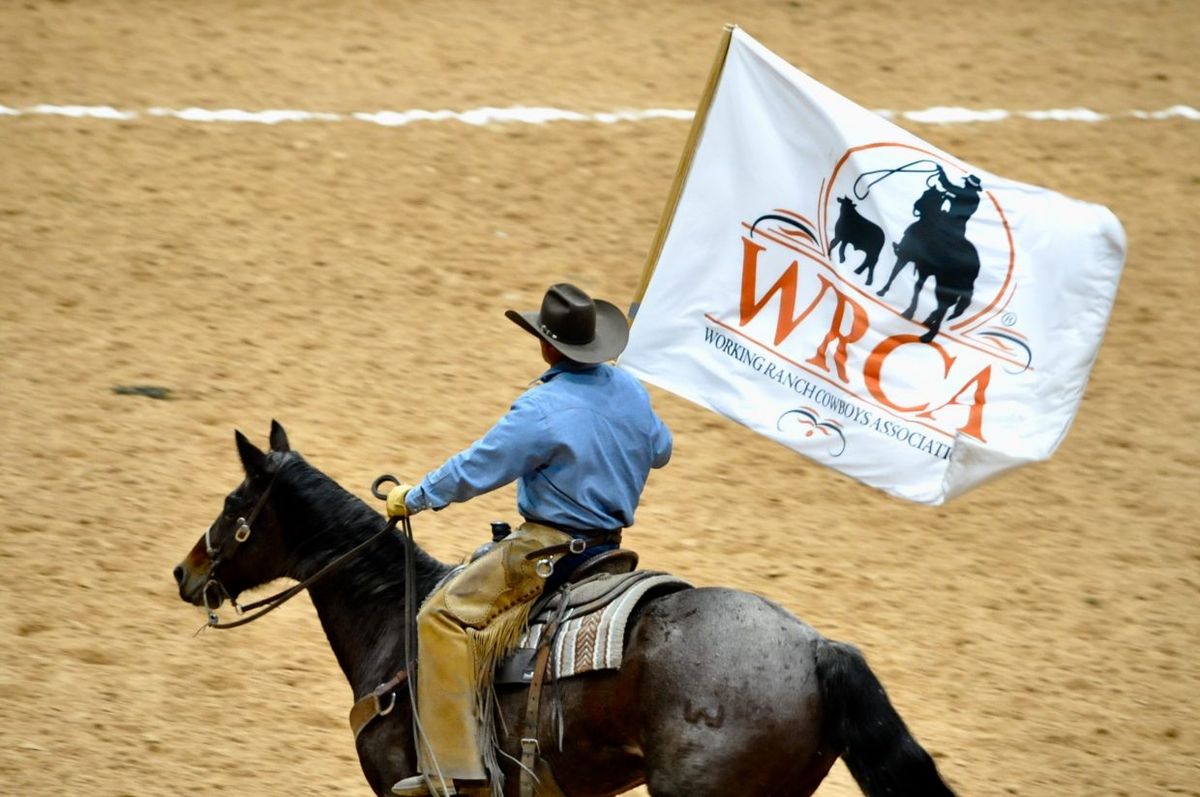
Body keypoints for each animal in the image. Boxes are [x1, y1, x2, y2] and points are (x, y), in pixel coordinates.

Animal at [878, 184, 979, 343]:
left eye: (927, 195)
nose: (916, 205)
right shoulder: (923, 270)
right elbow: (916, 287)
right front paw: (909, 311)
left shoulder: (905, 256)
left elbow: (895, 272)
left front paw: (883, 291)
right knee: (948, 306)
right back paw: (929, 321)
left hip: (945, 286)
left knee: (944, 306)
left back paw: (928, 335)